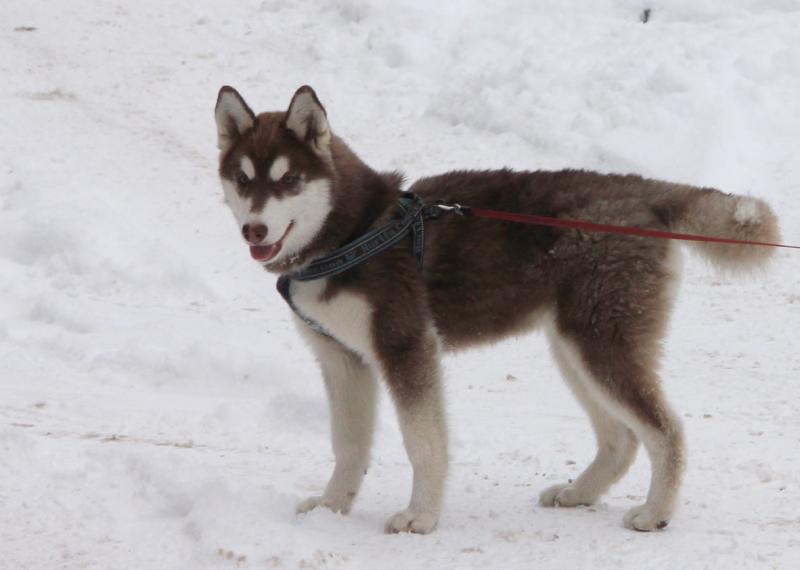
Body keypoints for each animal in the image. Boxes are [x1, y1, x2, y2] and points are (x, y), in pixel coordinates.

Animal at [214, 85, 779, 534]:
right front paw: (334, 507)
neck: (354, 232)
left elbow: (422, 443)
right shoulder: (342, 360)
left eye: (288, 180)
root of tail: (642, 191)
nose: (254, 230)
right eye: (243, 180)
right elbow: (348, 446)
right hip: (573, 348)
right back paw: (580, 493)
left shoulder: (405, 347)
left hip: (599, 344)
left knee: (666, 431)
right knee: (620, 437)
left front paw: (421, 516)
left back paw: (655, 513)